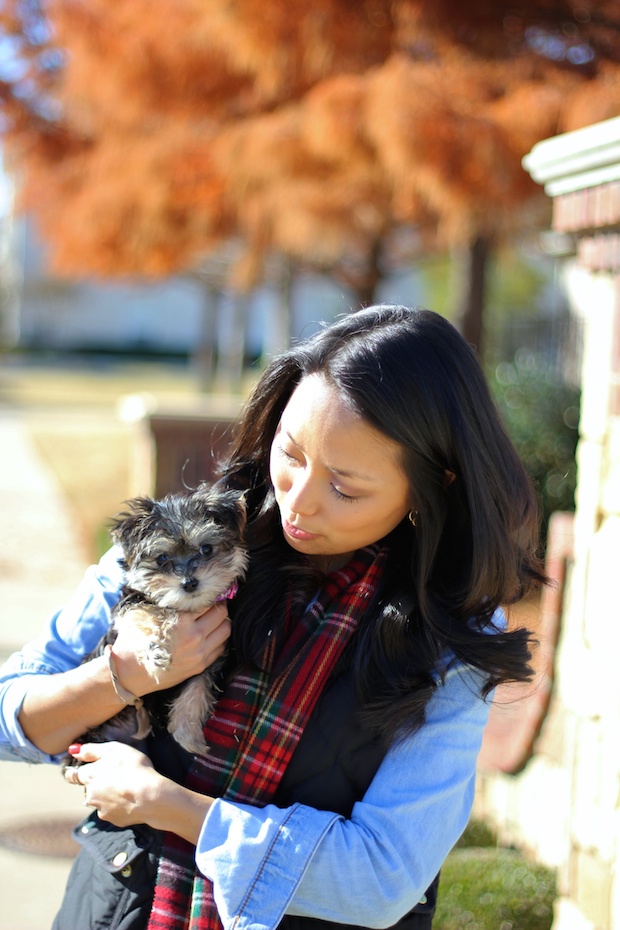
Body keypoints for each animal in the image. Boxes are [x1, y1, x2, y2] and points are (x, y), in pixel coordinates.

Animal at [67, 482, 247, 756]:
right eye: (162, 558)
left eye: (206, 549)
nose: (189, 582)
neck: (180, 608)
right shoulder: (127, 604)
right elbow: (141, 615)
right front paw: (156, 652)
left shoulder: (211, 659)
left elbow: (197, 688)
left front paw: (188, 735)